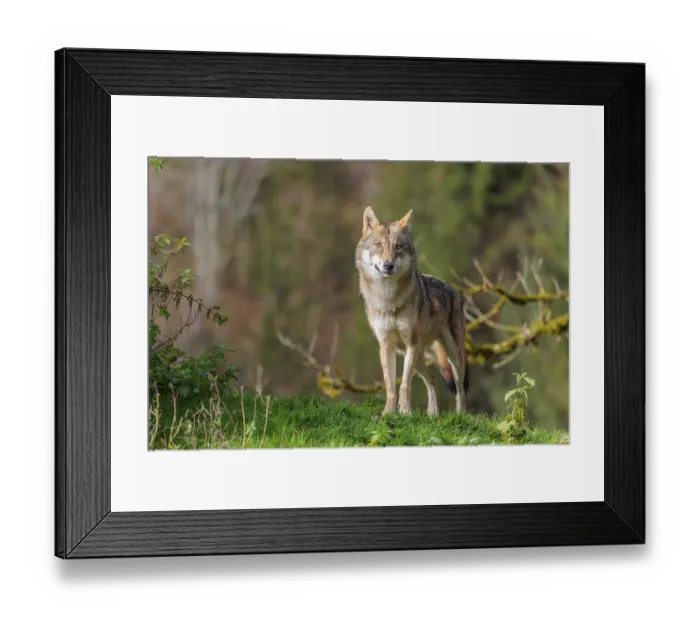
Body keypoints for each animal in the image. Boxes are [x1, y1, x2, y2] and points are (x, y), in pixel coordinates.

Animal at [355, 206, 469, 416]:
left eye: (398, 247)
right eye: (378, 245)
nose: (388, 265)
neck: (389, 299)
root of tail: (453, 288)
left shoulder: (411, 344)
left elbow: (405, 384)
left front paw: (406, 413)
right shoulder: (386, 346)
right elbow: (391, 385)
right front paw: (388, 413)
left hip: (452, 356)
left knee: (460, 388)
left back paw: (461, 415)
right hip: (419, 359)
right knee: (432, 379)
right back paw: (432, 415)